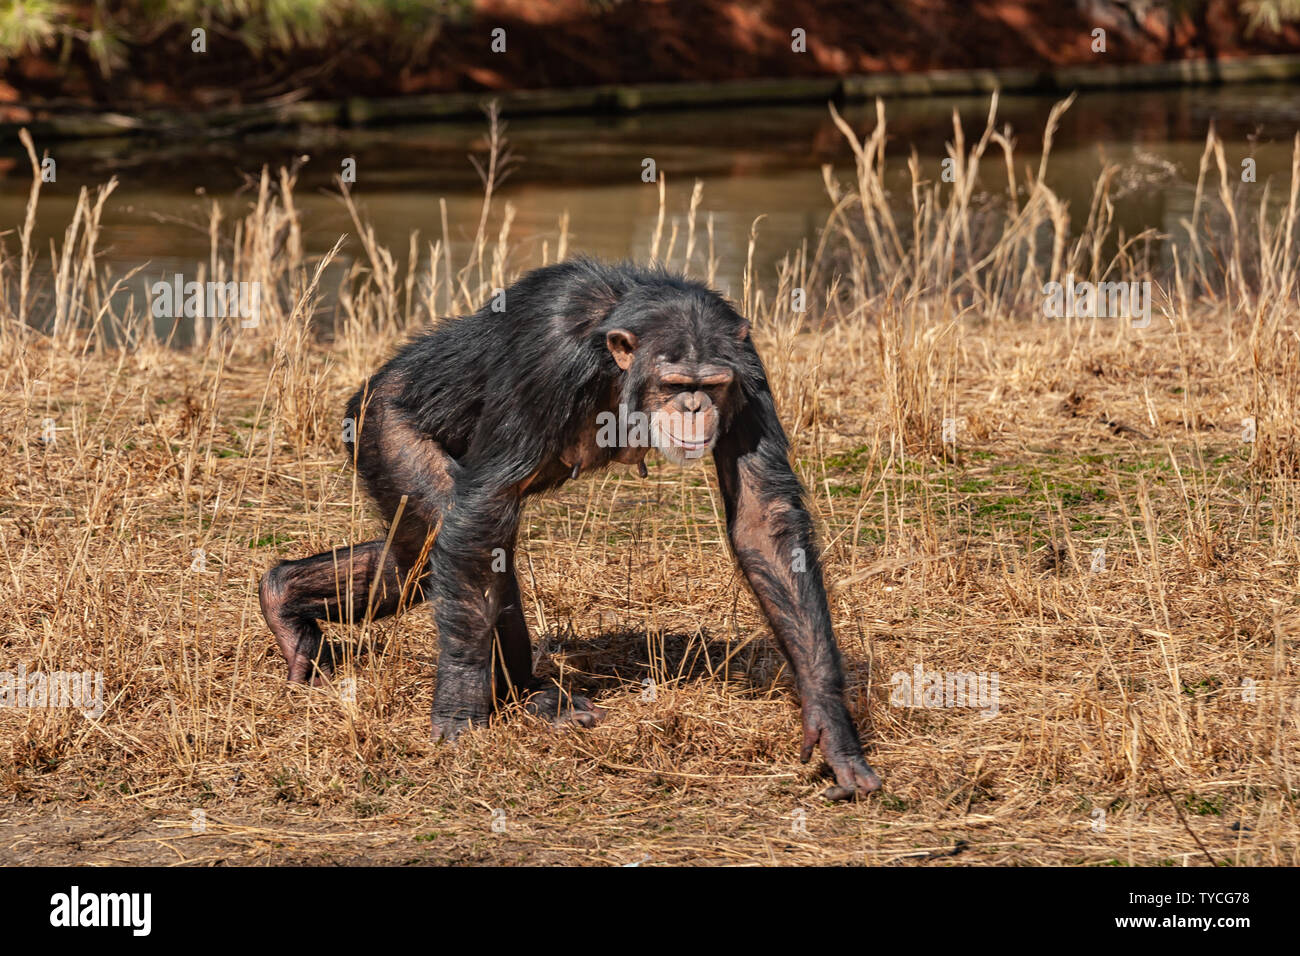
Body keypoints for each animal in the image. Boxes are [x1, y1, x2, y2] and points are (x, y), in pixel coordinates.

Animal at [258, 254, 878, 801]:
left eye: (713, 385)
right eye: (677, 384)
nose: (695, 408)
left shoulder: (747, 366)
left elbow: (762, 517)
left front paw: (831, 722)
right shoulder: (548, 354)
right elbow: (483, 505)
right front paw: (458, 706)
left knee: (420, 561)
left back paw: (289, 601)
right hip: (381, 427)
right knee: (462, 534)